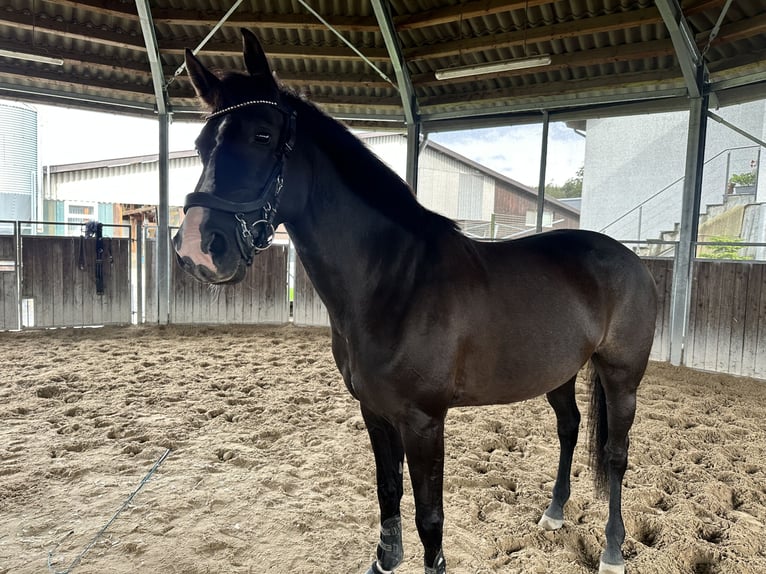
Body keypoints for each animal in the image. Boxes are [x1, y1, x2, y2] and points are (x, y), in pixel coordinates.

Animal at [174, 30, 660, 574]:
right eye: (201, 145)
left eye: (261, 136)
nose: (197, 249)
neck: (393, 283)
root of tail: (629, 259)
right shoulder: (375, 411)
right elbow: (388, 490)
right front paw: (385, 559)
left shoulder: (424, 421)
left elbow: (430, 516)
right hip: (560, 371)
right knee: (569, 427)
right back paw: (554, 513)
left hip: (621, 376)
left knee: (616, 455)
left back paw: (613, 550)